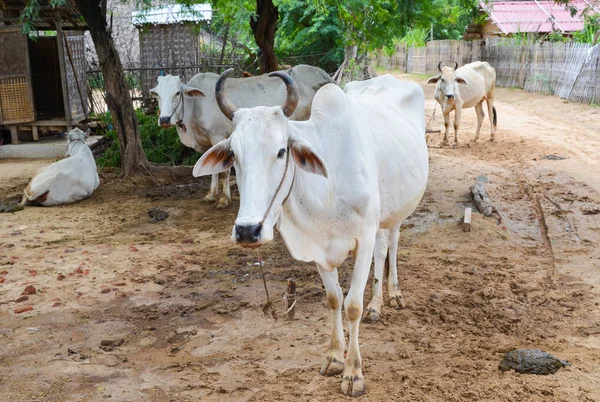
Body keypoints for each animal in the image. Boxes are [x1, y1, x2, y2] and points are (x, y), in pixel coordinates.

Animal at [151, 64, 332, 209]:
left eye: (176, 93)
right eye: (157, 95)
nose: (164, 119)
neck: (194, 105)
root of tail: (324, 75)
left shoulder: (218, 136)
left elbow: (224, 172)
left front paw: (224, 199)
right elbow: (213, 171)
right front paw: (211, 194)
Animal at [191, 71, 426, 396]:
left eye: (281, 151)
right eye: (234, 155)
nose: (248, 231)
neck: (327, 188)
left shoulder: (363, 238)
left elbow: (353, 305)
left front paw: (353, 373)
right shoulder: (318, 247)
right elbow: (334, 299)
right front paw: (334, 358)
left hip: (397, 212)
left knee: (389, 245)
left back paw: (391, 296)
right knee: (382, 250)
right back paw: (377, 304)